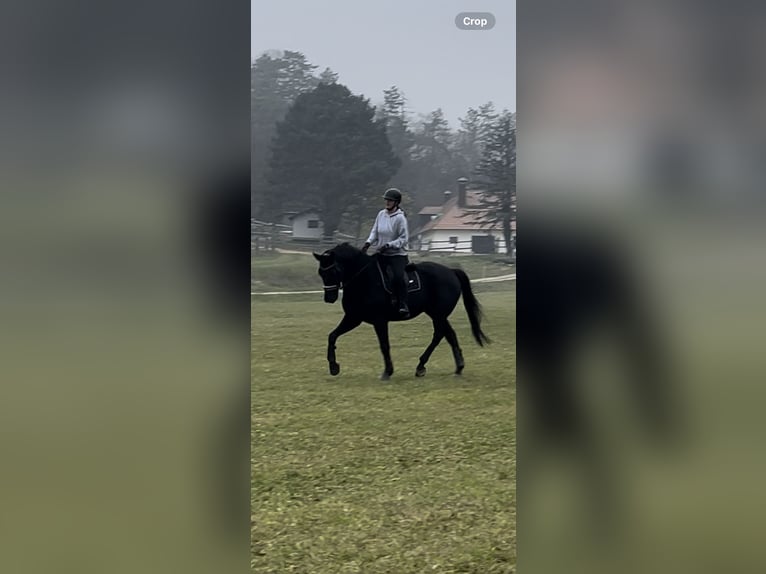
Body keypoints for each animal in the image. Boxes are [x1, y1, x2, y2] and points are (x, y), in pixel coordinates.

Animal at [314, 244, 488, 382]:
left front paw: (387, 372)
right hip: (437, 314)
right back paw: (447, 367)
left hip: (438, 314)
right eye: (321, 273)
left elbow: (384, 345)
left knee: (441, 334)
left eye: (333, 271)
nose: (329, 298)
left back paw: (433, 366)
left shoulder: (379, 320)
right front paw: (334, 367)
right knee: (447, 334)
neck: (364, 279)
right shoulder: (353, 318)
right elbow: (332, 336)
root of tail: (451, 271)